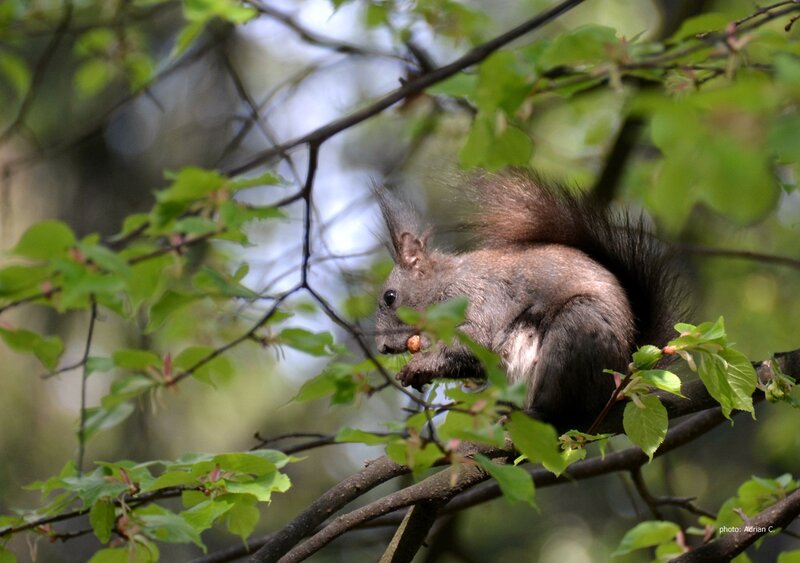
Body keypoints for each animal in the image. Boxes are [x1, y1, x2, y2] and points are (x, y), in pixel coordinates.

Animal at [374, 171, 688, 431]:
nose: (382, 348)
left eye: (390, 297)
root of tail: (620, 382)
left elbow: (472, 344)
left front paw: (417, 364)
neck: (444, 284)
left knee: (563, 408)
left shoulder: (476, 300)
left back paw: (537, 414)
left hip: (576, 332)